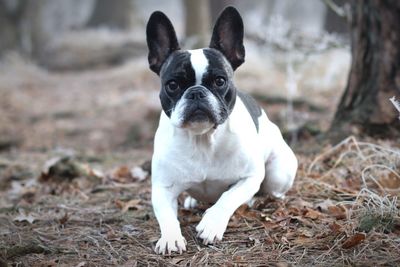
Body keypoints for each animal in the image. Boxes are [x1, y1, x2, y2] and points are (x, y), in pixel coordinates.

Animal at [146, 6, 296, 255]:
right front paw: (170, 238)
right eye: (173, 85)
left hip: (278, 173)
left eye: (219, 81)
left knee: (271, 191)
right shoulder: (162, 187)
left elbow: (228, 198)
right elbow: (166, 216)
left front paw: (211, 224)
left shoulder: (250, 176)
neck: (203, 139)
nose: (196, 92)